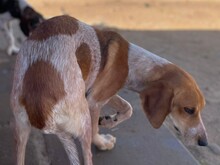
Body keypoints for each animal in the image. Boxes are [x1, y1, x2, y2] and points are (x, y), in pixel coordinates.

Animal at [10, 14, 208, 164]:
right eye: (189, 110)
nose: (204, 142)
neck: (133, 63)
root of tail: (39, 111)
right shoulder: (94, 101)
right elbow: (98, 128)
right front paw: (102, 139)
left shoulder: (101, 92)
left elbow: (128, 108)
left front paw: (109, 120)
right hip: (82, 119)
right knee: (87, 148)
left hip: (21, 133)